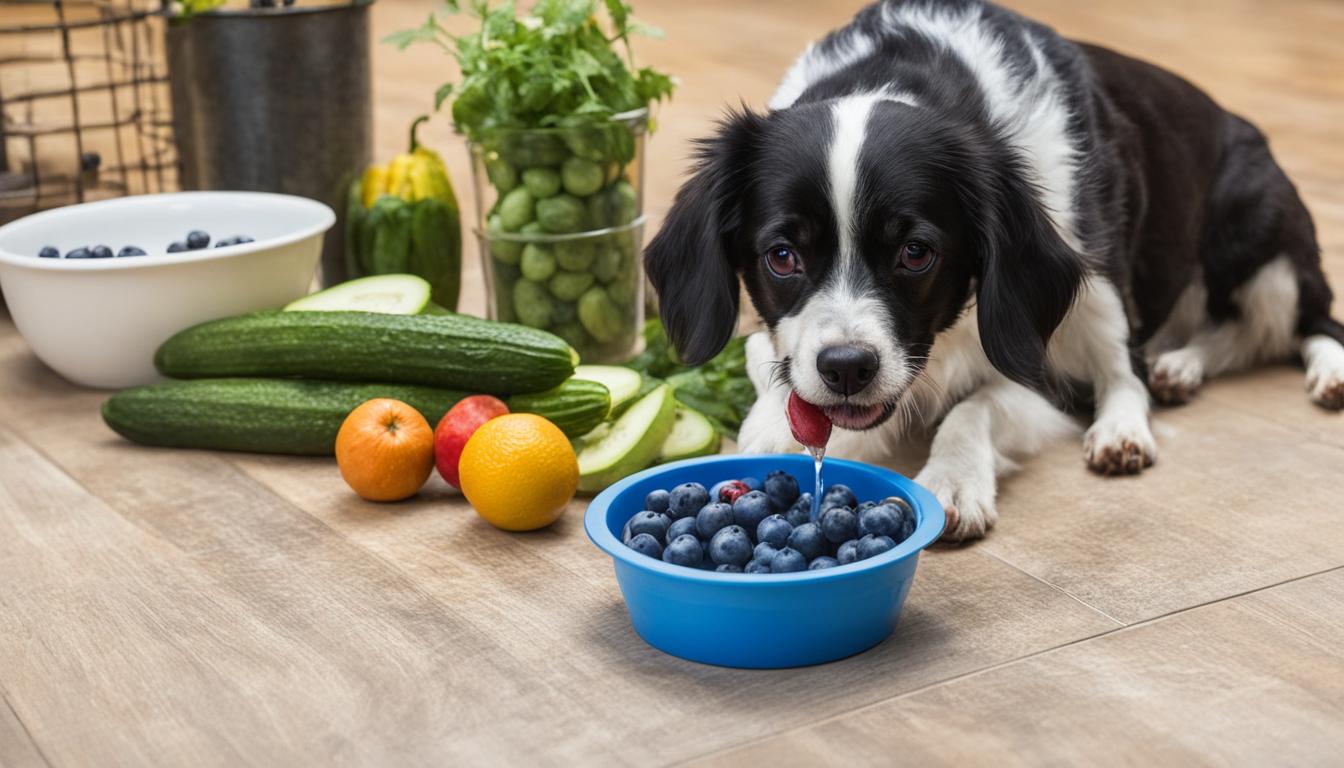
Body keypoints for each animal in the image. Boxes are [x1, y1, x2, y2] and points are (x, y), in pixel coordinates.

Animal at [642, 0, 1344, 540]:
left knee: (1262, 332)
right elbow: (772, 374)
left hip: (1213, 245)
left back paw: (1144, 416)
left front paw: (952, 482)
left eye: (916, 251)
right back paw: (1183, 366)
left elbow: (975, 405)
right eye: (782, 256)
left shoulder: (1043, 353)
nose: (846, 369)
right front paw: (772, 429)